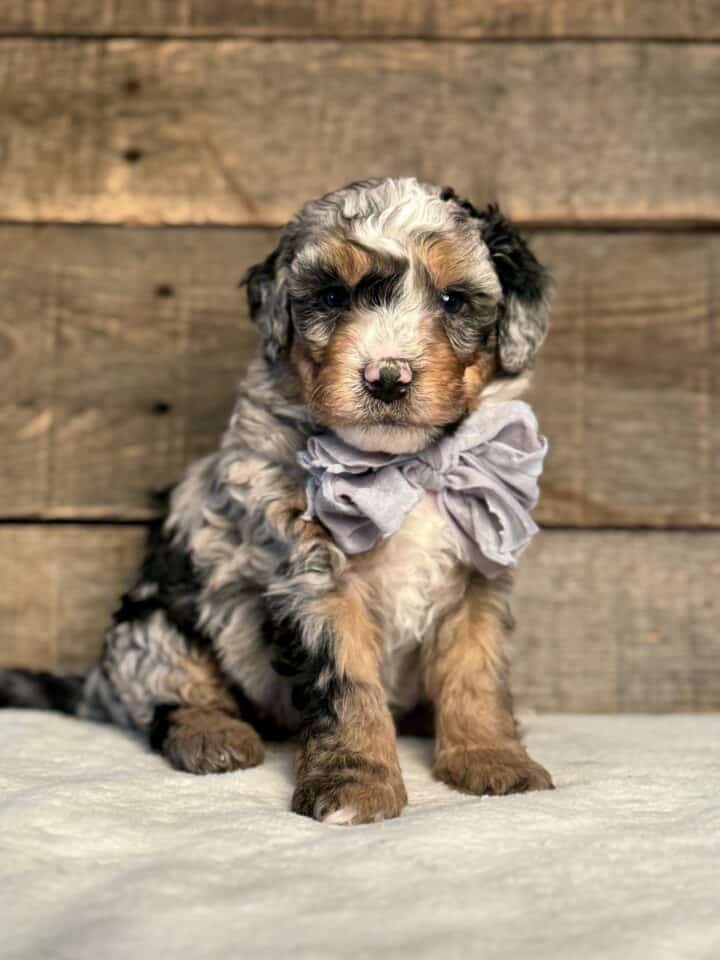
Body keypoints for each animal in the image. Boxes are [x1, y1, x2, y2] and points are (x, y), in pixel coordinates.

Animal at [0, 178, 556, 824]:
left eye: (452, 301)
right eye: (333, 296)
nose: (387, 377)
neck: (401, 469)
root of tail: (97, 687)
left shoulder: (477, 572)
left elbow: (476, 672)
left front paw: (494, 758)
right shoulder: (311, 576)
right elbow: (345, 684)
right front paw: (355, 784)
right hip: (155, 627)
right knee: (171, 698)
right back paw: (213, 736)